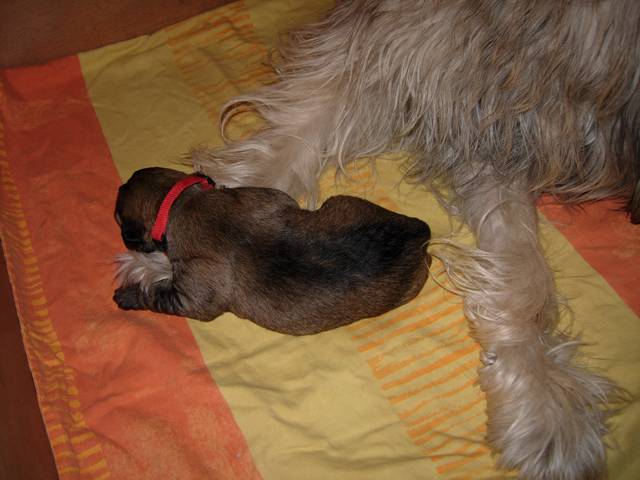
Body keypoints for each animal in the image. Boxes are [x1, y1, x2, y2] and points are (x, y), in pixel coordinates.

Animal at [113, 167, 432, 335]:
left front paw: (127, 295)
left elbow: (154, 294)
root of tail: (419, 233)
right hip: (345, 203)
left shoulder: (193, 296)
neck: (179, 202)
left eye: (116, 214)